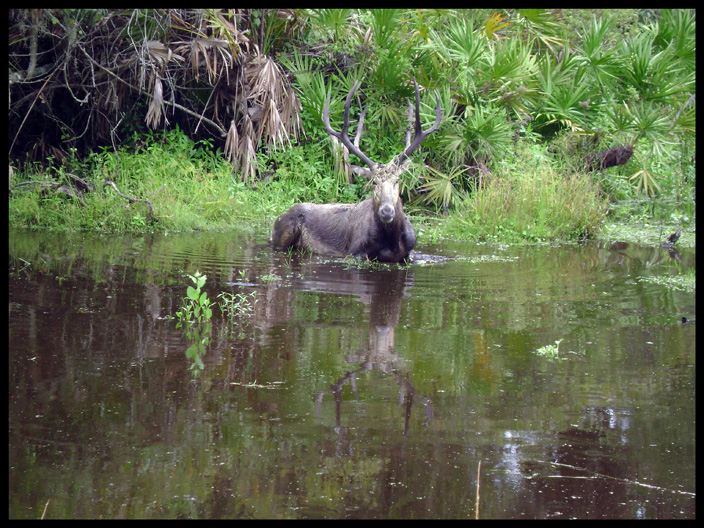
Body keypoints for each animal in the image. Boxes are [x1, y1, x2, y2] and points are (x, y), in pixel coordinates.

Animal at [271, 79, 442, 263]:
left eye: (397, 180)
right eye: (373, 182)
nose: (387, 211)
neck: (392, 241)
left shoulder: (410, 253)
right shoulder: (356, 251)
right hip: (282, 235)